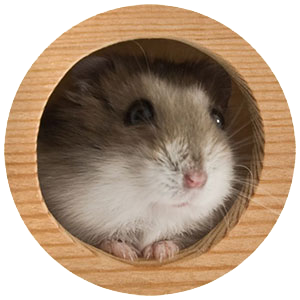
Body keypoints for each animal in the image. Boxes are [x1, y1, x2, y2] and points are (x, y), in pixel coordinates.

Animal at [37, 54, 234, 262]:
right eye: (138, 113)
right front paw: (126, 253)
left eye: (219, 118)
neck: (149, 213)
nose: (197, 180)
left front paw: (160, 252)